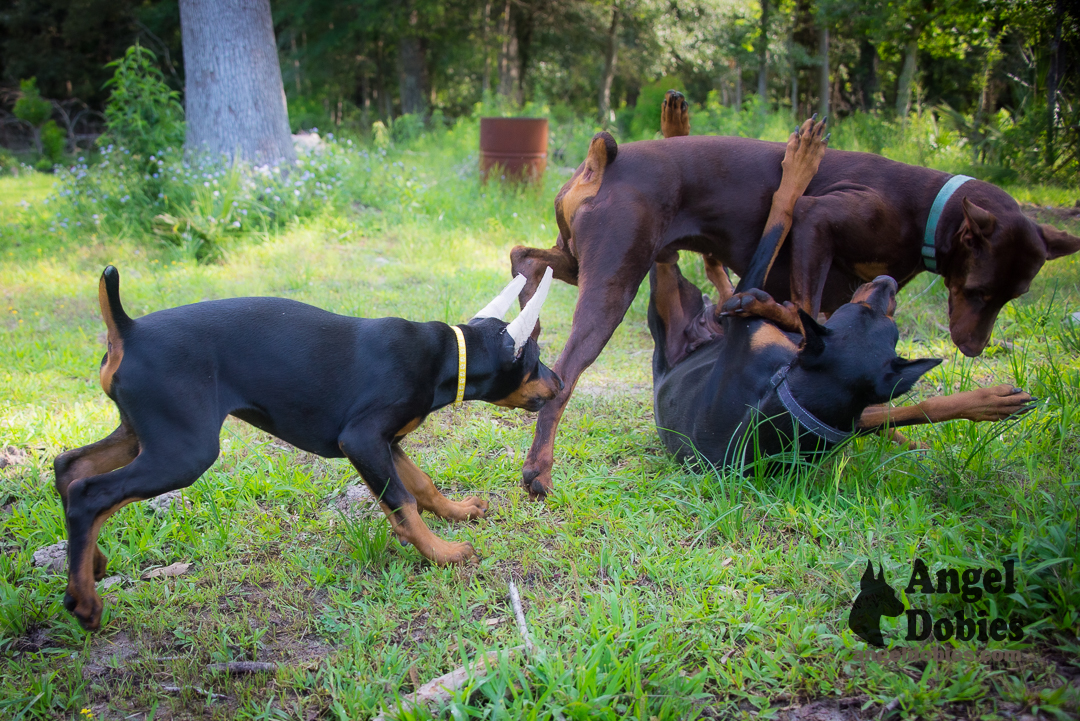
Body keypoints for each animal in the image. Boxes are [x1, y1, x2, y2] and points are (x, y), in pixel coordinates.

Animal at [56, 266, 565, 630]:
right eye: (536, 360)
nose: (560, 384)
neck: (444, 355)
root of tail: (128, 329)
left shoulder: (386, 442)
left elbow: (422, 486)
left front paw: (457, 512)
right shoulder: (362, 438)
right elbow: (402, 503)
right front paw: (442, 552)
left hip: (144, 433)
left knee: (70, 467)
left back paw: (89, 568)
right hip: (184, 449)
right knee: (91, 493)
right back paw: (86, 603)